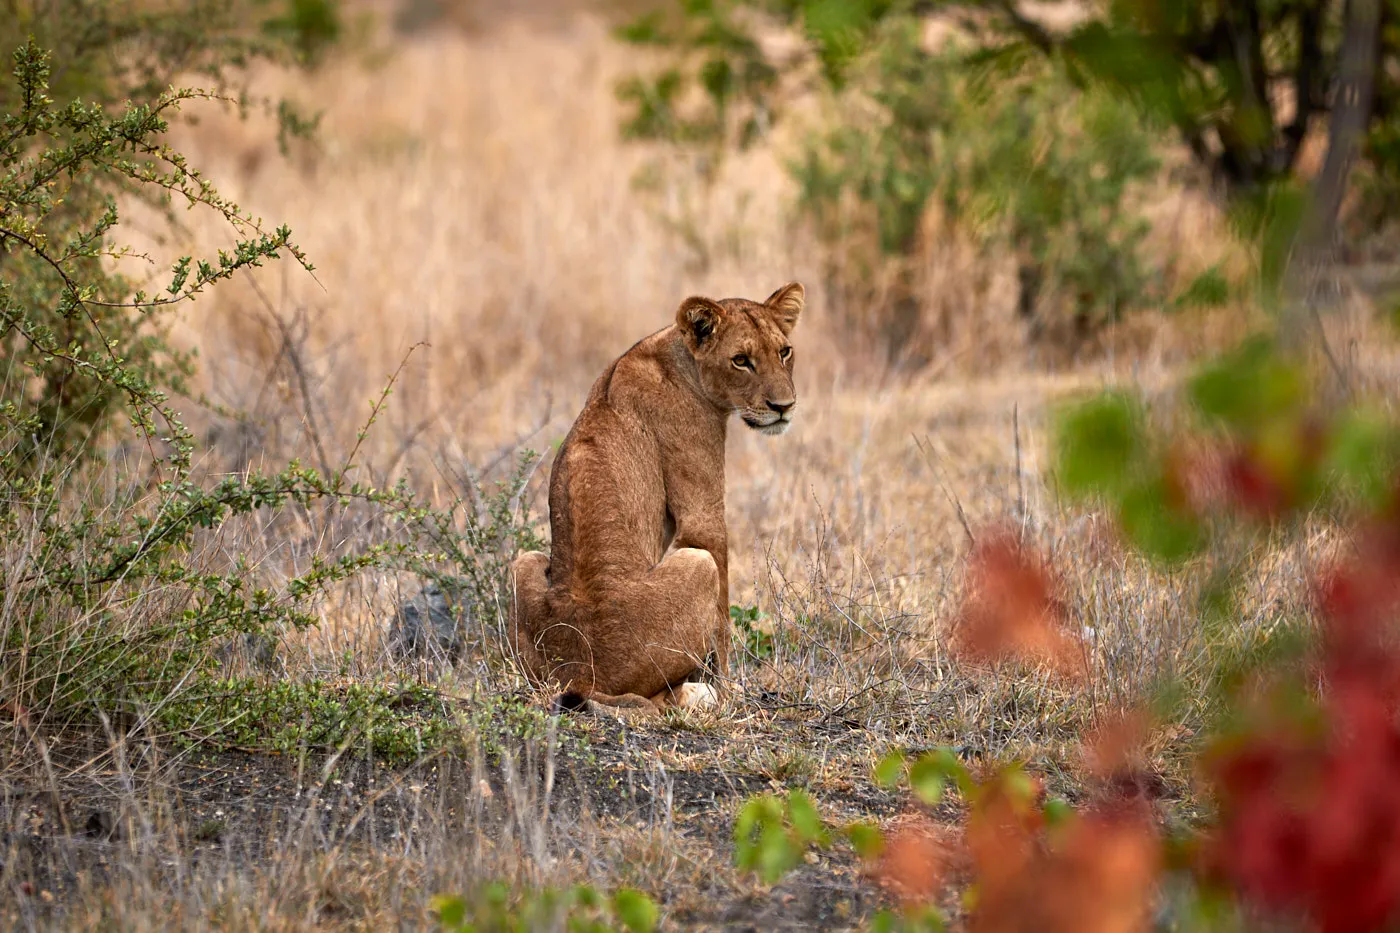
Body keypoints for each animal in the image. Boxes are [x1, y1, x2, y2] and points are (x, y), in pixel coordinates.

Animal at [508, 282, 805, 715]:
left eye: (784, 352)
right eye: (741, 361)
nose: (784, 408)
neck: (677, 353)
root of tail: (581, 673)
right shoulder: (702, 514)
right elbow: (722, 620)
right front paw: (730, 694)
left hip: (522, 563)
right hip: (697, 565)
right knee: (663, 698)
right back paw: (698, 694)